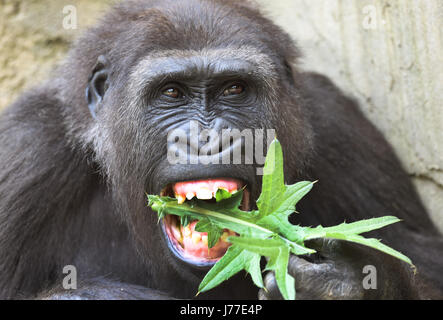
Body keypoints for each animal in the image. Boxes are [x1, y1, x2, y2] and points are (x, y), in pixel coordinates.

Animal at [0, 0, 443, 300]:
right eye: (171, 92)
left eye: (234, 88)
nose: (207, 138)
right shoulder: (25, 151)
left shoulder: (337, 122)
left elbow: (425, 262)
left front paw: (353, 282)